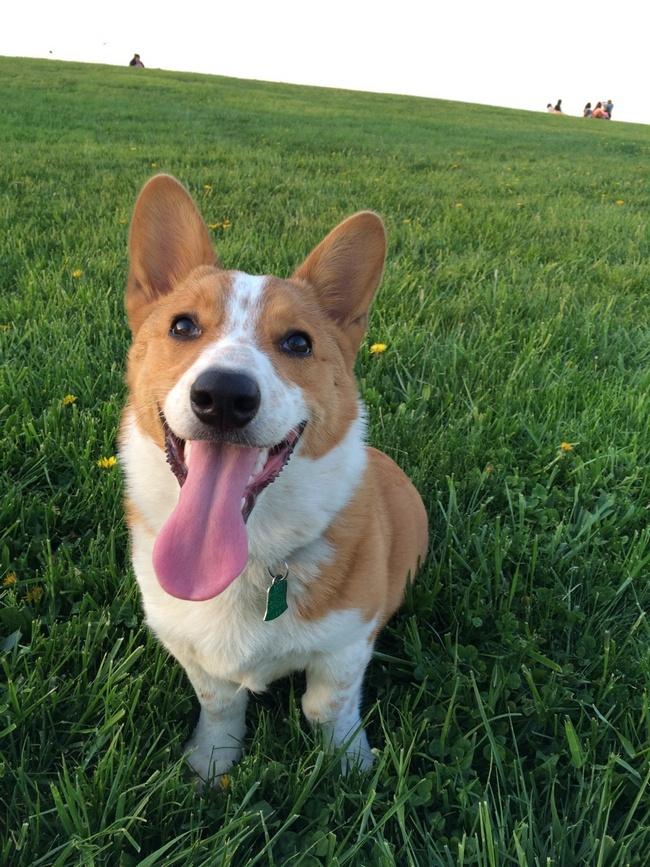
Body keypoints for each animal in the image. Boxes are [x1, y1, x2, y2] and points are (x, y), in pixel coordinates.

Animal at [119, 173, 428, 784]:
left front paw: (349, 765)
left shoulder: (348, 642)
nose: (224, 395)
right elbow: (220, 702)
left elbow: (326, 705)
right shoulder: (189, 646)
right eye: (182, 325)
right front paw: (211, 765)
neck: (247, 556)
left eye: (298, 342)